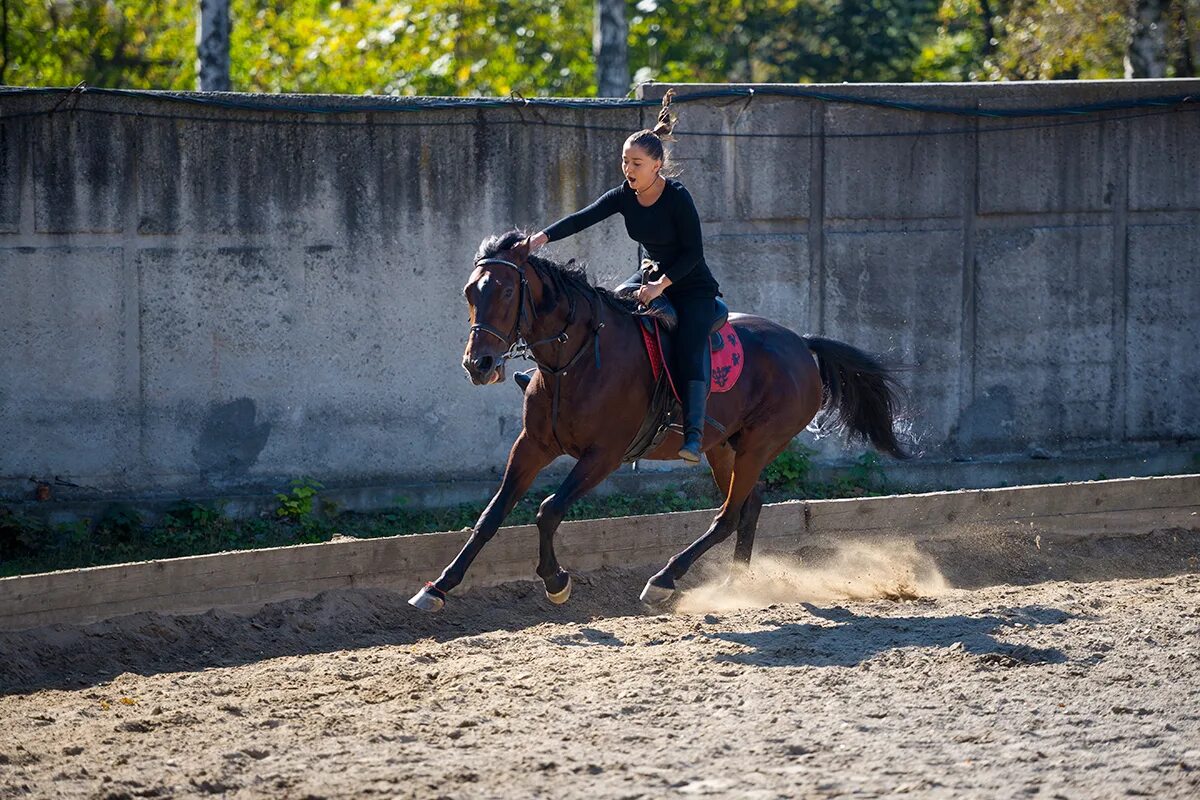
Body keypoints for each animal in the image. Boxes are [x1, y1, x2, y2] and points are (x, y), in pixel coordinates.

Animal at [408, 231, 902, 614]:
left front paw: (556, 582)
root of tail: (801, 342)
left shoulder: (603, 455)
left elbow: (548, 510)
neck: (574, 361)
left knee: (728, 515)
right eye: (470, 292)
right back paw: (735, 582)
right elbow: (491, 515)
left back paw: (665, 580)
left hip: (761, 442)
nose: (478, 364)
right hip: (724, 446)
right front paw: (438, 587)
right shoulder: (531, 445)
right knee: (751, 503)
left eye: (508, 292)